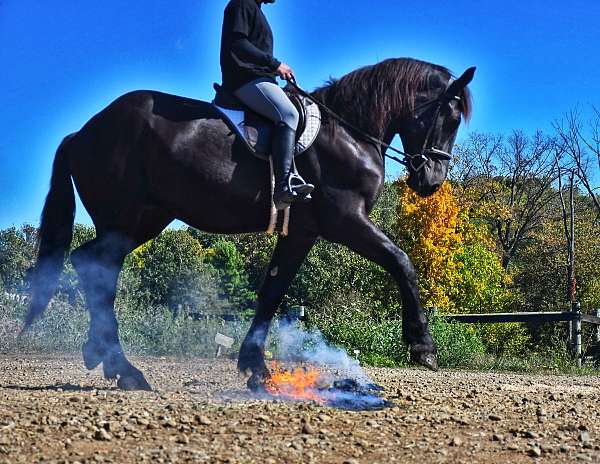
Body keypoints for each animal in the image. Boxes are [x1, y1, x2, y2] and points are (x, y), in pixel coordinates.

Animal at [24, 59, 474, 392]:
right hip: (129, 219)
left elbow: (272, 291)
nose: (431, 181)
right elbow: (402, 262)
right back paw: (124, 367)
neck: (348, 132)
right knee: (96, 270)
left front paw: (255, 368)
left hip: (142, 220)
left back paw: (104, 357)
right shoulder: (346, 219)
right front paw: (422, 346)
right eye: (449, 117)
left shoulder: (303, 231)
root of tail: (84, 132)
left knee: (95, 267)